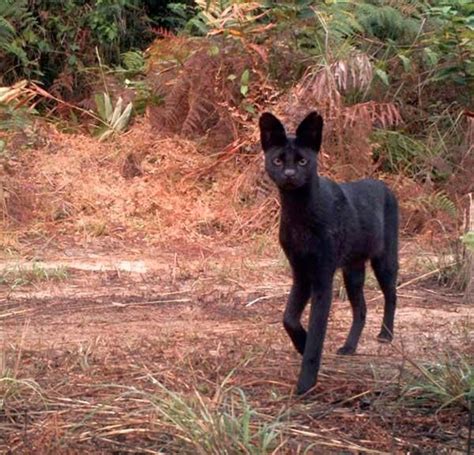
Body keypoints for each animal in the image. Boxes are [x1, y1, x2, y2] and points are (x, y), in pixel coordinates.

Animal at [262, 111, 398, 396]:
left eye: (302, 160)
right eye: (278, 160)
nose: (289, 174)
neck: (299, 213)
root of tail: (383, 185)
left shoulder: (322, 277)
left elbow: (317, 332)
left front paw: (306, 383)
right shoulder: (301, 272)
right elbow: (289, 318)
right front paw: (300, 343)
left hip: (385, 261)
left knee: (391, 295)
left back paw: (386, 335)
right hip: (352, 270)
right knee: (361, 309)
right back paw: (349, 347)